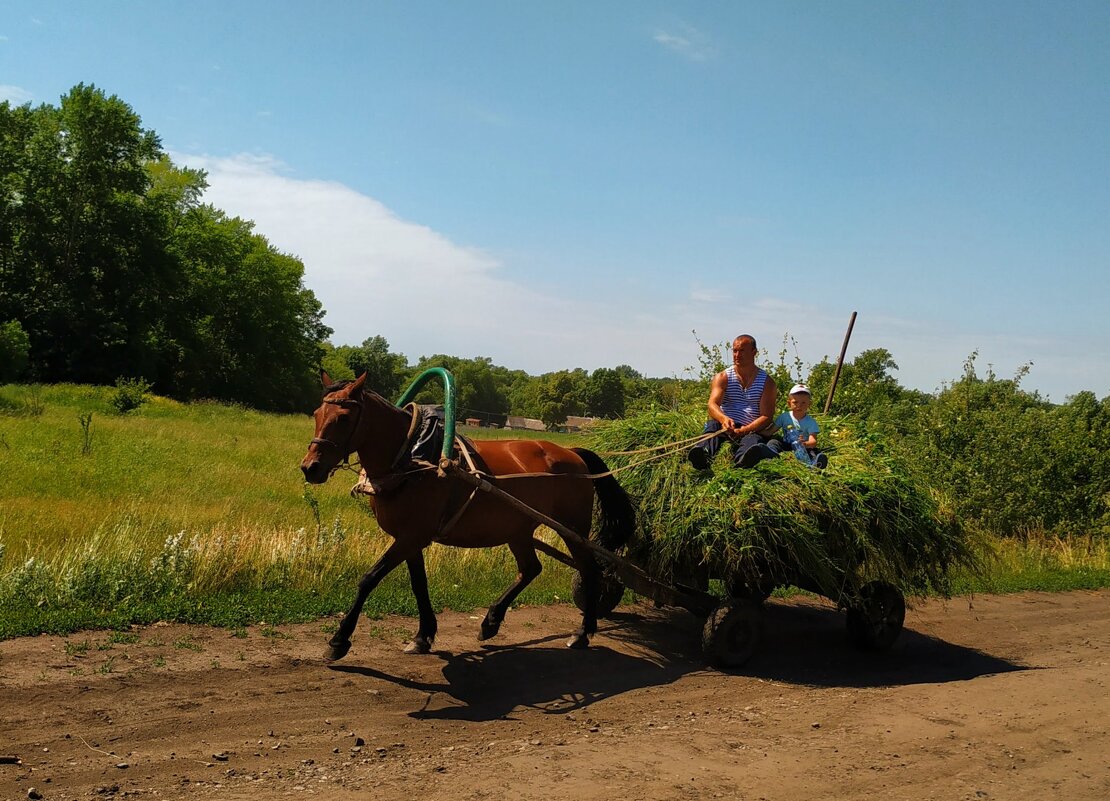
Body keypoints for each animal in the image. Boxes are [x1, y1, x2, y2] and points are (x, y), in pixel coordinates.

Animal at [299, 370, 639, 656]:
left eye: (344, 418)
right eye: (317, 414)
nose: (310, 468)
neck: (413, 457)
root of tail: (572, 453)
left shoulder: (411, 537)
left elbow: (368, 579)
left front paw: (339, 639)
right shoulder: (411, 538)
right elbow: (419, 585)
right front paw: (423, 636)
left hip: (572, 528)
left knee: (589, 569)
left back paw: (582, 633)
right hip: (518, 528)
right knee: (531, 569)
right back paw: (491, 621)